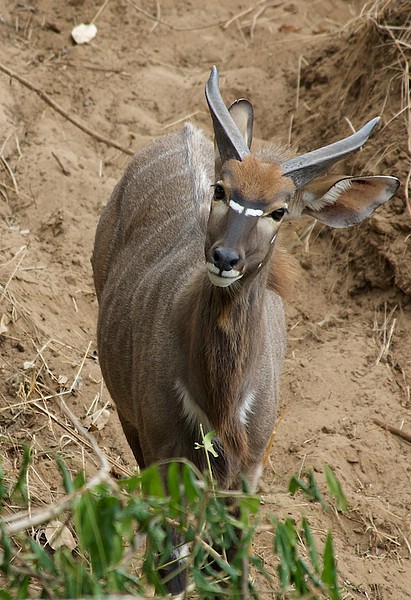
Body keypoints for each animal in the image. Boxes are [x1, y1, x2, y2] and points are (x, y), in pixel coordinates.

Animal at [92, 64, 400, 592]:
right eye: (221, 190)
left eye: (279, 210)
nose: (224, 257)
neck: (221, 400)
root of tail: (185, 132)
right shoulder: (165, 452)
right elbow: (174, 567)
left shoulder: (250, 464)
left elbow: (227, 562)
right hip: (131, 419)